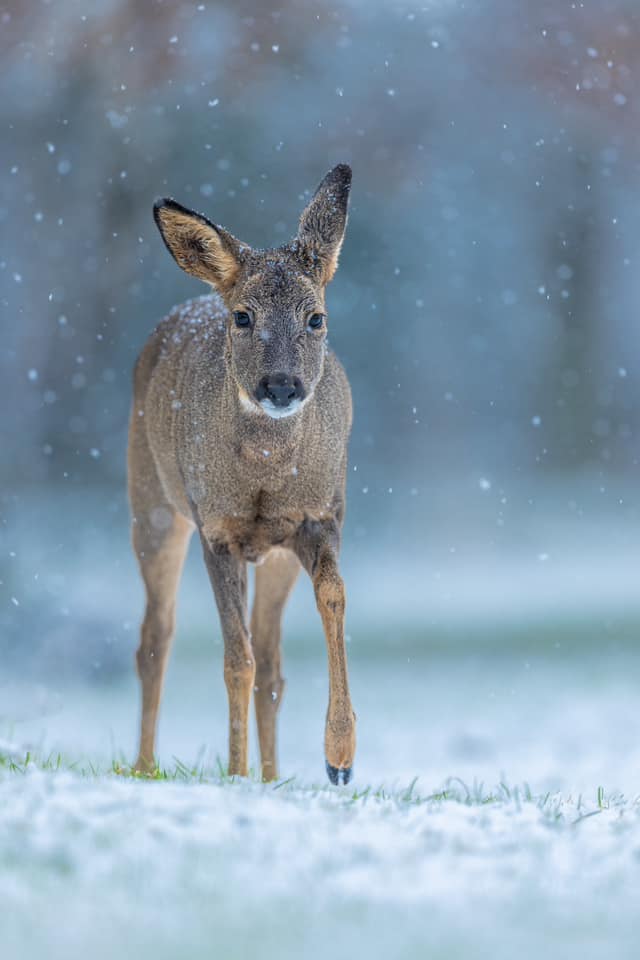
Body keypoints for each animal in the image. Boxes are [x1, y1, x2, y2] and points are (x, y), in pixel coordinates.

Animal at [125, 163, 356, 780]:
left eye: (317, 318)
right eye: (243, 316)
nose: (281, 385)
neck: (263, 481)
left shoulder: (319, 516)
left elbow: (332, 599)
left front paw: (340, 758)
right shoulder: (217, 528)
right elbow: (235, 660)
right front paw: (234, 774)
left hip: (270, 555)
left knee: (271, 663)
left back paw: (274, 777)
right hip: (152, 504)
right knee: (155, 638)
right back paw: (144, 767)